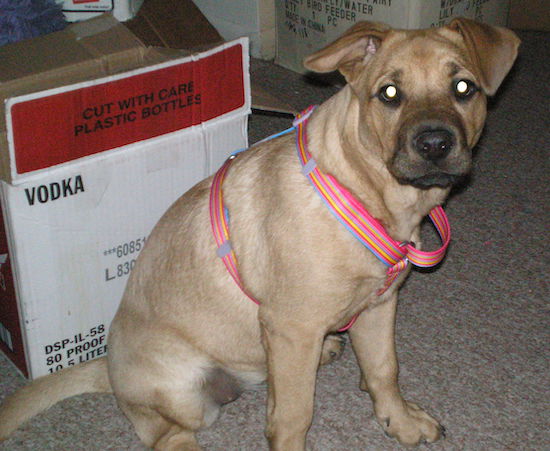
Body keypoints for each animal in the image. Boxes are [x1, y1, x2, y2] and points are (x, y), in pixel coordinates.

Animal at [0, 19, 520, 451]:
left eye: (463, 87)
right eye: (389, 93)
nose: (435, 144)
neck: (362, 190)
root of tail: (106, 365)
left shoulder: (378, 307)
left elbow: (383, 370)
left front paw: (400, 421)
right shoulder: (291, 327)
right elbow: (294, 415)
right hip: (185, 387)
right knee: (168, 436)